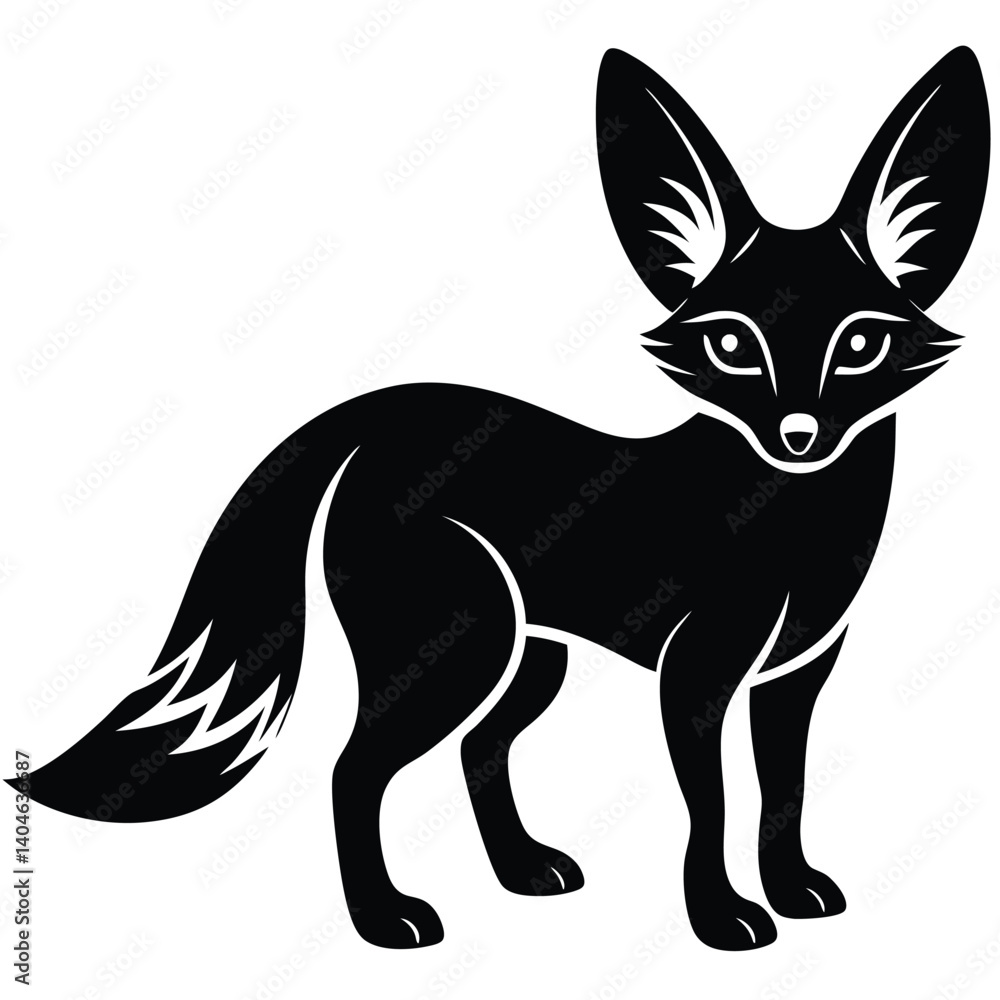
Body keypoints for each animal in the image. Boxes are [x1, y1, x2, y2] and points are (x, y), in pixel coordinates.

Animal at [8, 46, 989, 952]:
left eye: (860, 344)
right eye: (732, 346)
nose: (799, 435)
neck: (796, 526)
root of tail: (378, 414)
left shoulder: (798, 673)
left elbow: (785, 792)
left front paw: (793, 890)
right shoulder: (696, 673)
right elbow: (711, 805)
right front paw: (722, 918)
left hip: (526, 655)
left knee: (480, 749)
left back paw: (522, 870)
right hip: (458, 646)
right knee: (354, 769)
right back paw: (384, 919)